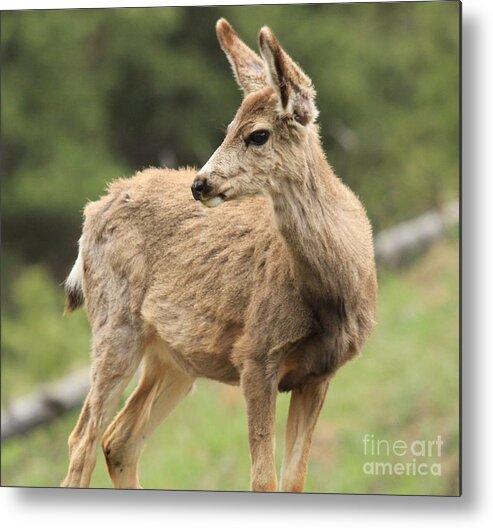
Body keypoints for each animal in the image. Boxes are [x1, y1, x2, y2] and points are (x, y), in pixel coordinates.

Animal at [61, 18, 376, 492]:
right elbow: (263, 480)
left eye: (257, 134)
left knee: (119, 440)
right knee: (83, 438)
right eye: (227, 127)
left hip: (173, 358)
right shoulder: (256, 354)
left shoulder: (321, 372)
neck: (330, 295)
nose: (199, 183)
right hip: (115, 324)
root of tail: (95, 208)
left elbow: (294, 479)